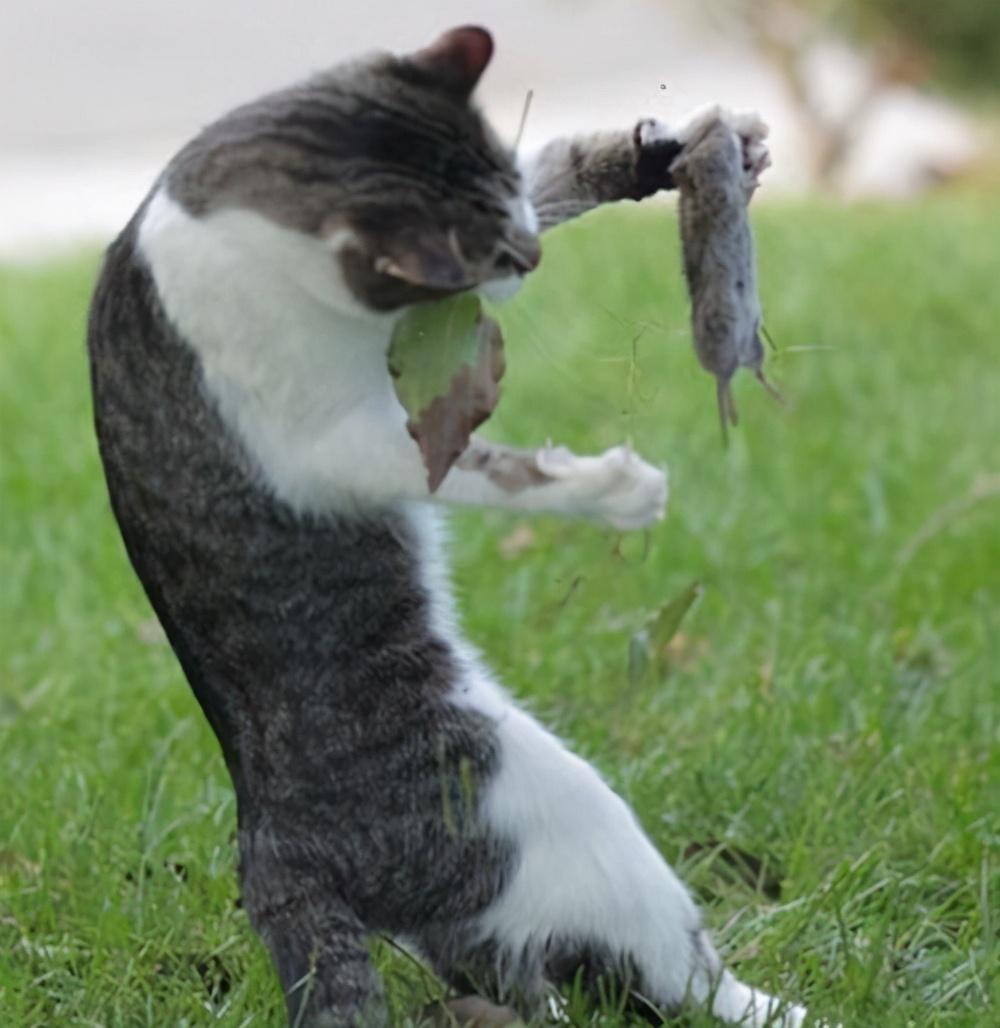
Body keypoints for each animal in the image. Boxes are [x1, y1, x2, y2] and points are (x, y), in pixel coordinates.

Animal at [87, 22, 809, 1028]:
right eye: (491, 260)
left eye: (514, 225)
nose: (531, 261)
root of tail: (267, 839)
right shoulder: (328, 442)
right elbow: (482, 466)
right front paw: (613, 488)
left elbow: (556, 171)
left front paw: (668, 150)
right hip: (562, 819)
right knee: (678, 977)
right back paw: (784, 1005)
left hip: (488, 917)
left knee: (528, 977)